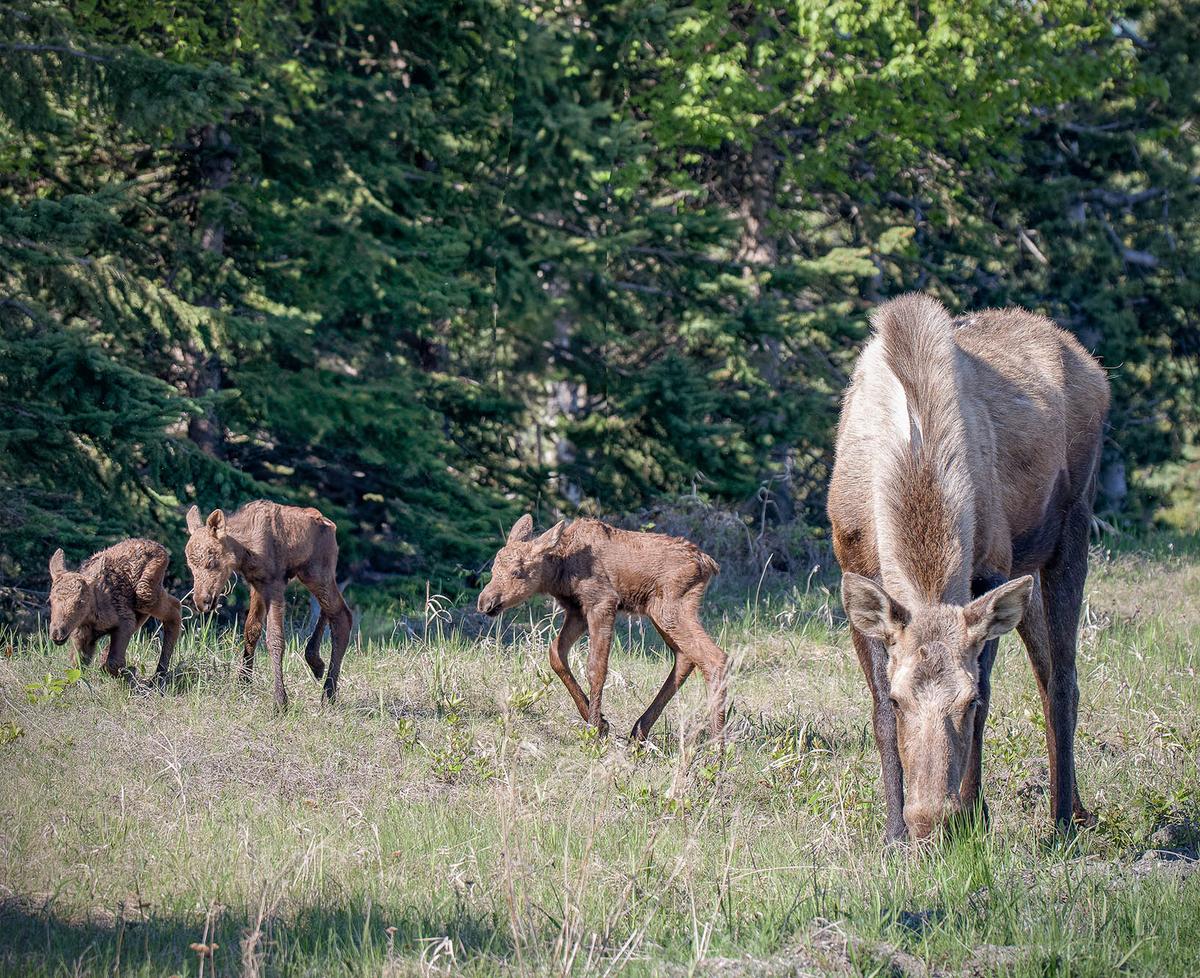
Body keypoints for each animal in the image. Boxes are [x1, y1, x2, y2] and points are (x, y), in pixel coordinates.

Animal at [47, 539, 182, 685]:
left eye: (80, 602)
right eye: (50, 600)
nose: (57, 633)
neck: (91, 617)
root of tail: (160, 546)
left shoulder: (125, 619)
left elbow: (113, 663)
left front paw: (129, 674)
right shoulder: (81, 635)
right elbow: (76, 664)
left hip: (145, 593)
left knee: (175, 607)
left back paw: (160, 674)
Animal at [184, 500, 352, 710]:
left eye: (211, 561)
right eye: (190, 566)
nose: (201, 601)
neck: (245, 551)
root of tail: (332, 525)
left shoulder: (274, 585)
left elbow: (275, 639)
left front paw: (280, 701)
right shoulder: (257, 585)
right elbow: (251, 631)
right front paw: (243, 683)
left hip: (316, 572)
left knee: (342, 615)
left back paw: (328, 694)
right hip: (312, 574)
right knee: (328, 611)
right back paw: (316, 662)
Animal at [477, 515, 728, 741]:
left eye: (517, 572)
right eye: (494, 569)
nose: (484, 602)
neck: (560, 572)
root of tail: (709, 564)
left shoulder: (603, 602)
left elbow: (596, 668)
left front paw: (594, 729)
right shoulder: (577, 611)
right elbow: (555, 653)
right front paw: (600, 720)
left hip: (672, 609)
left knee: (715, 657)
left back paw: (716, 750)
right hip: (659, 612)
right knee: (685, 657)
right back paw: (640, 731)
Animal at [828, 293, 1109, 842]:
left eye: (967, 701)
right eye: (901, 700)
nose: (928, 818)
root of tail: (1094, 365)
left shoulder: (991, 567)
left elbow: (989, 692)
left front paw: (971, 815)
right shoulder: (852, 565)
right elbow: (875, 710)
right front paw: (894, 832)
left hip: (1073, 525)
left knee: (1064, 676)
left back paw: (1062, 818)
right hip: (1030, 568)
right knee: (1048, 667)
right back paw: (1079, 807)